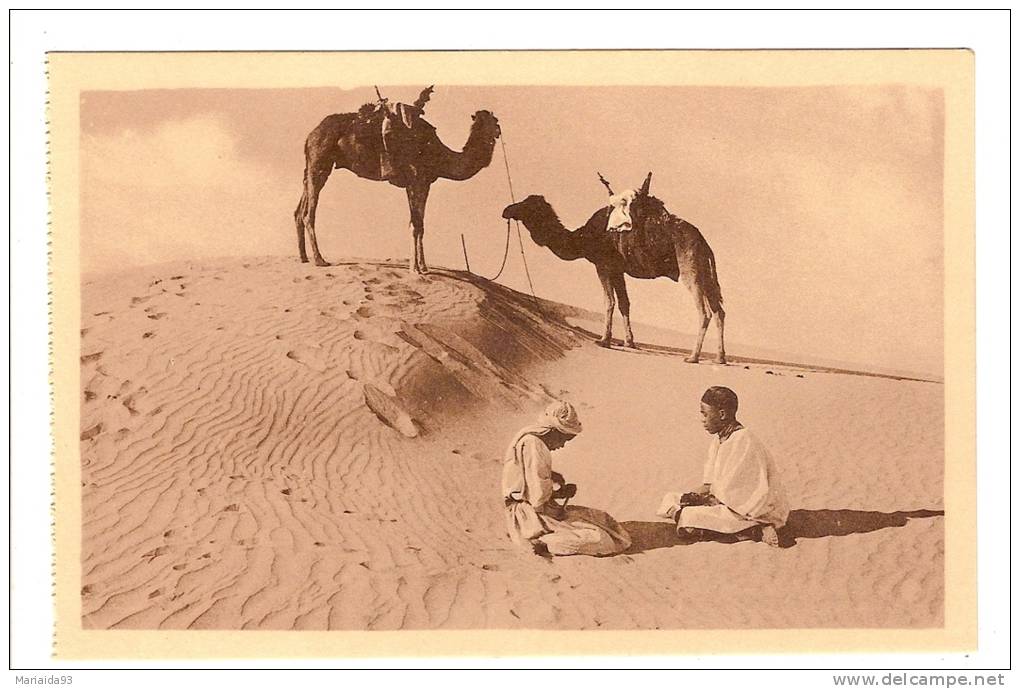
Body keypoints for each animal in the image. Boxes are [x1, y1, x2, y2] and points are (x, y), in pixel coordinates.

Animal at [294, 86, 501, 274]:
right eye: (493, 121)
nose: (499, 130)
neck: (437, 152)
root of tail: (310, 135)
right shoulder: (416, 180)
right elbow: (416, 225)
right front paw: (415, 269)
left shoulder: (423, 183)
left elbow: (420, 225)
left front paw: (423, 267)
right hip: (320, 161)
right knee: (309, 213)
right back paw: (320, 260)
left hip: (313, 166)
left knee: (299, 209)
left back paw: (304, 258)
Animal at [502, 174, 726, 364]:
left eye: (527, 204)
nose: (506, 210)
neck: (585, 237)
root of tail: (704, 243)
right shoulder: (618, 270)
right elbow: (624, 304)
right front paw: (629, 342)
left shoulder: (603, 265)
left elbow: (608, 302)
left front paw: (604, 340)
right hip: (705, 273)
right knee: (719, 311)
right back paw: (719, 358)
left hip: (690, 270)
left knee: (704, 312)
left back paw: (693, 357)